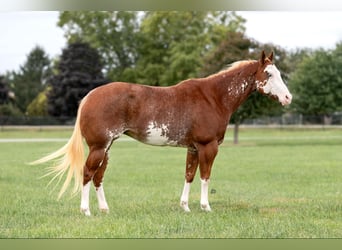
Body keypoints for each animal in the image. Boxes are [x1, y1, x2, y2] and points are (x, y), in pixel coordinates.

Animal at [32, 50, 292, 215]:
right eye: (269, 74)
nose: (288, 97)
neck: (214, 97)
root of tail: (89, 97)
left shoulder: (193, 148)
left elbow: (189, 175)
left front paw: (185, 207)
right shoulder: (208, 146)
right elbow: (205, 176)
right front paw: (206, 207)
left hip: (106, 148)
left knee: (98, 176)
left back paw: (104, 209)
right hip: (98, 147)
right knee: (87, 173)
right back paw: (86, 211)